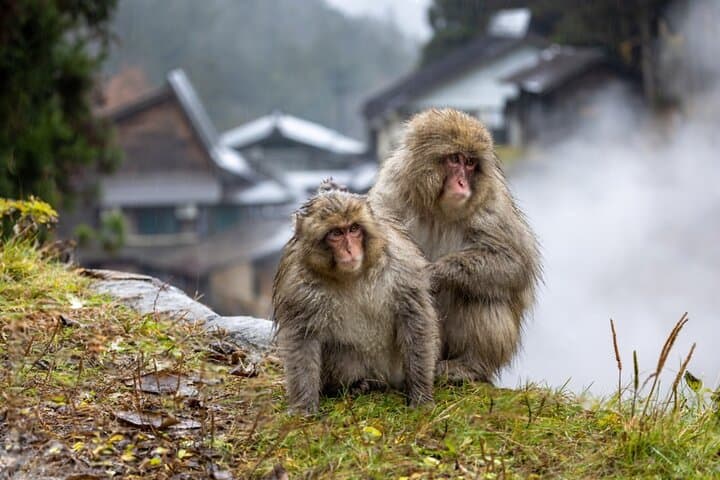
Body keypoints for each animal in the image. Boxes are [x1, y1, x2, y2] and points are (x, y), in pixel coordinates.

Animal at [272, 181, 439, 414]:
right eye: (336, 233)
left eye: (353, 229)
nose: (350, 250)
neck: (352, 275)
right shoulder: (297, 284)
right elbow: (302, 337)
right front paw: (303, 407)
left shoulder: (401, 265)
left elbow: (414, 318)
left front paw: (421, 396)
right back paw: (355, 385)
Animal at [368, 108, 541, 384]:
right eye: (455, 159)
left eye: (470, 163)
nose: (462, 183)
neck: (436, 209)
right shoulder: (391, 188)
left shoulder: (491, 203)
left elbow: (514, 264)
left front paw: (434, 274)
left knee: (480, 293)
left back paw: (469, 366)